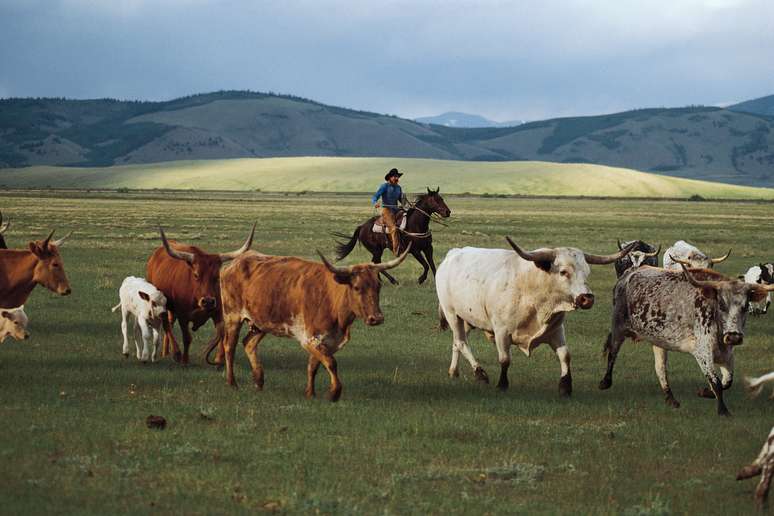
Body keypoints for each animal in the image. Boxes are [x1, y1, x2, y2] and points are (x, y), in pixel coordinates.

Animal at [146, 225, 255, 362]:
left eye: (216, 276)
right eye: (196, 275)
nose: (208, 301)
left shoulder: (218, 313)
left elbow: (222, 335)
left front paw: (219, 359)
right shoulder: (183, 316)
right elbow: (187, 338)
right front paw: (185, 360)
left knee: (169, 323)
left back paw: (166, 352)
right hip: (160, 305)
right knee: (166, 325)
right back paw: (176, 353)